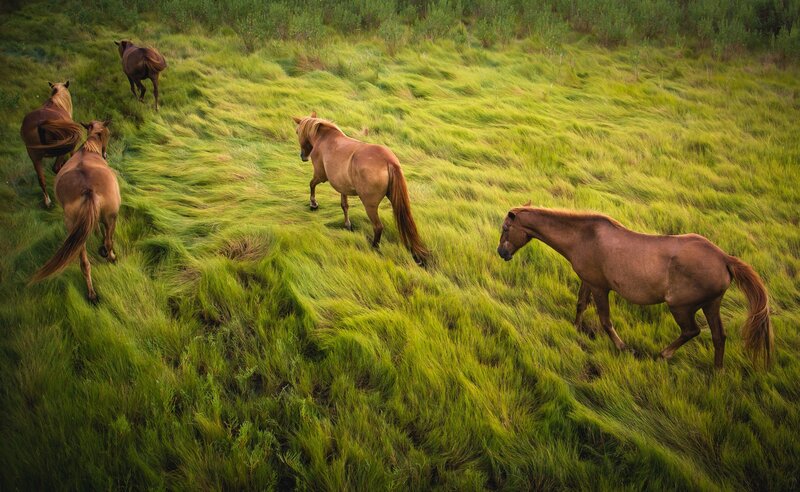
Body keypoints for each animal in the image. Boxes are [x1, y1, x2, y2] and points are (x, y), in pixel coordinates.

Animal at [30, 120, 121, 303]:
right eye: (108, 133)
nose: (105, 154)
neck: (88, 150)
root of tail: (88, 189)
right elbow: (105, 237)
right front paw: (104, 250)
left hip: (75, 230)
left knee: (84, 263)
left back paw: (92, 294)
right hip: (111, 218)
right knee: (109, 242)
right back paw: (111, 258)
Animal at [291, 112, 429, 266]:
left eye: (297, 131)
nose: (303, 156)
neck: (325, 138)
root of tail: (389, 161)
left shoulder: (321, 175)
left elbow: (311, 184)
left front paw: (313, 203)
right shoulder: (342, 186)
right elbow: (344, 205)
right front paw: (347, 225)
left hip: (369, 205)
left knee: (378, 226)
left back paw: (374, 246)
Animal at [497, 205, 773, 369]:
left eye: (506, 228)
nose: (501, 252)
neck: (583, 237)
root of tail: (724, 258)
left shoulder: (600, 287)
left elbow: (605, 320)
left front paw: (622, 347)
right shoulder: (588, 280)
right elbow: (580, 304)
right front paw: (575, 329)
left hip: (681, 307)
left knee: (692, 331)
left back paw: (664, 354)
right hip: (711, 304)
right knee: (718, 337)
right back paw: (717, 372)